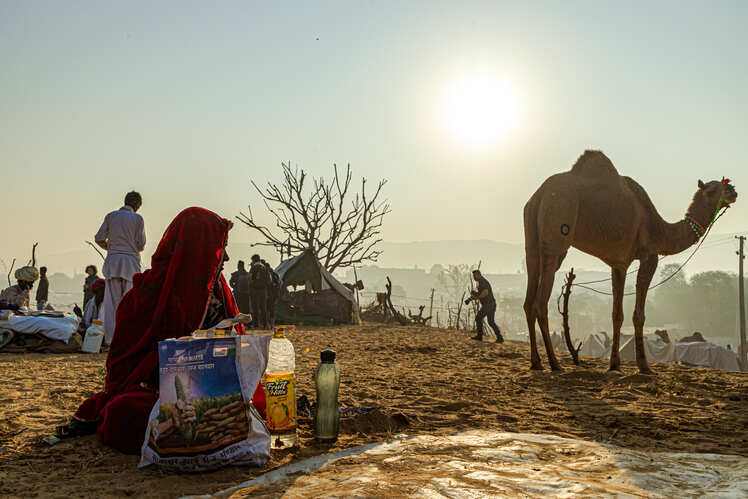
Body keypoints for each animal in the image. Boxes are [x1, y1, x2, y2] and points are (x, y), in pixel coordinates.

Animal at [523, 150, 737, 374]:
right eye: (712, 190)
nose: (733, 191)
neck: (661, 231)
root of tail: (539, 195)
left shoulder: (619, 263)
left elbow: (617, 315)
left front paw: (614, 364)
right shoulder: (650, 256)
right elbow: (638, 315)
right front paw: (644, 366)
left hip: (532, 241)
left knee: (528, 301)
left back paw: (536, 362)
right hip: (557, 229)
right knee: (540, 302)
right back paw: (554, 364)